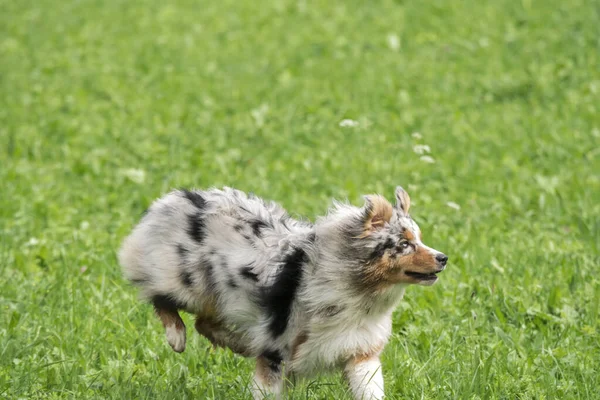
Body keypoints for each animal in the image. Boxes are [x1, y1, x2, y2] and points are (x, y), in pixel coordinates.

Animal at [119, 186, 446, 398]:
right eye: (404, 244)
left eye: (419, 238)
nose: (443, 257)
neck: (359, 291)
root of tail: (171, 199)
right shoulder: (275, 350)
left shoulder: (359, 353)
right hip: (185, 284)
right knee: (160, 298)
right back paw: (176, 335)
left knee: (204, 323)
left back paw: (239, 342)